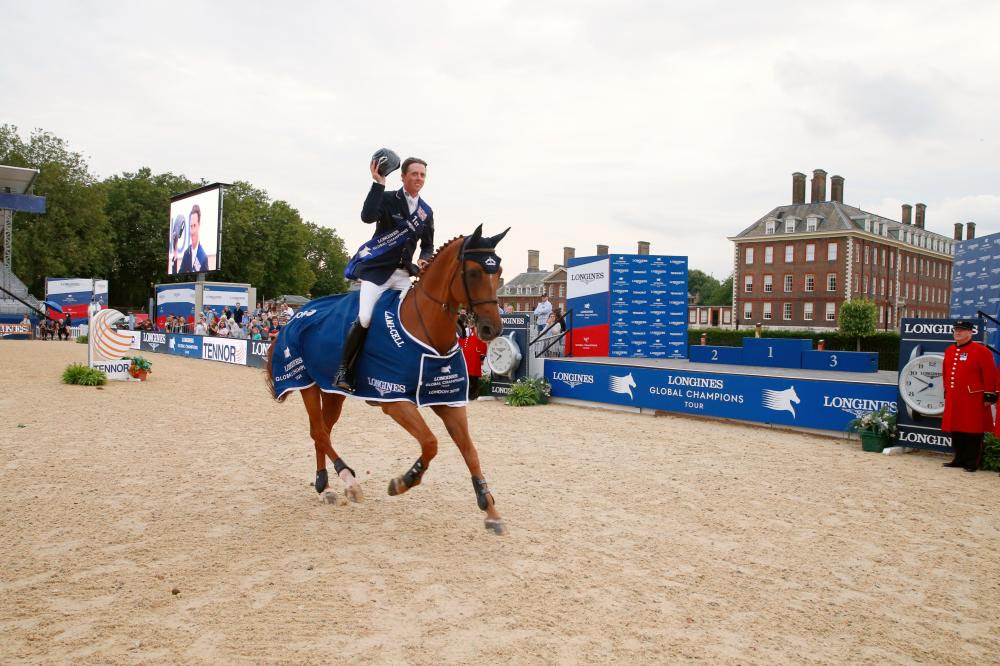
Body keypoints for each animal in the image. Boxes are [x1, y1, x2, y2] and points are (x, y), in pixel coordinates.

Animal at [264, 226, 508, 532]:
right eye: (474, 272)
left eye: (499, 272)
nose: (491, 328)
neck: (425, 328)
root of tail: (294, 316)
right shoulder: (393, 400)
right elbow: (431, 442)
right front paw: (405, 480)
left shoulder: (449, 401)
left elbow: (470, 451)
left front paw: (490, 509)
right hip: (305, 382)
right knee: (318, 431)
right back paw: (347, 481)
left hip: (332, 392)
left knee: (323, 432)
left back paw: (325, 485)